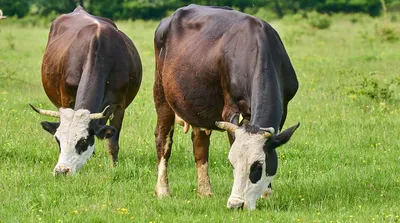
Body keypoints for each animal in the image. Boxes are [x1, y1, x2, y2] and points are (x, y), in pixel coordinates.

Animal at [29, 6, 142, 176]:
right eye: (58, 140)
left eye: (82, 141)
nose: (61, 171)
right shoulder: (66, 99)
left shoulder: (119, 106)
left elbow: (113, 143)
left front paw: (113, 167)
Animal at [153, 5, 300, 211]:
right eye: (232, 163)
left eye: (258, 166)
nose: (235, 205)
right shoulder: (231, 110)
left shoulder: (283, 108)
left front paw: (267, 194)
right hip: (161, 93)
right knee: (163, 139)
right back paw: (163, 191)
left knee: (200, 145)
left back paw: (205, 191)